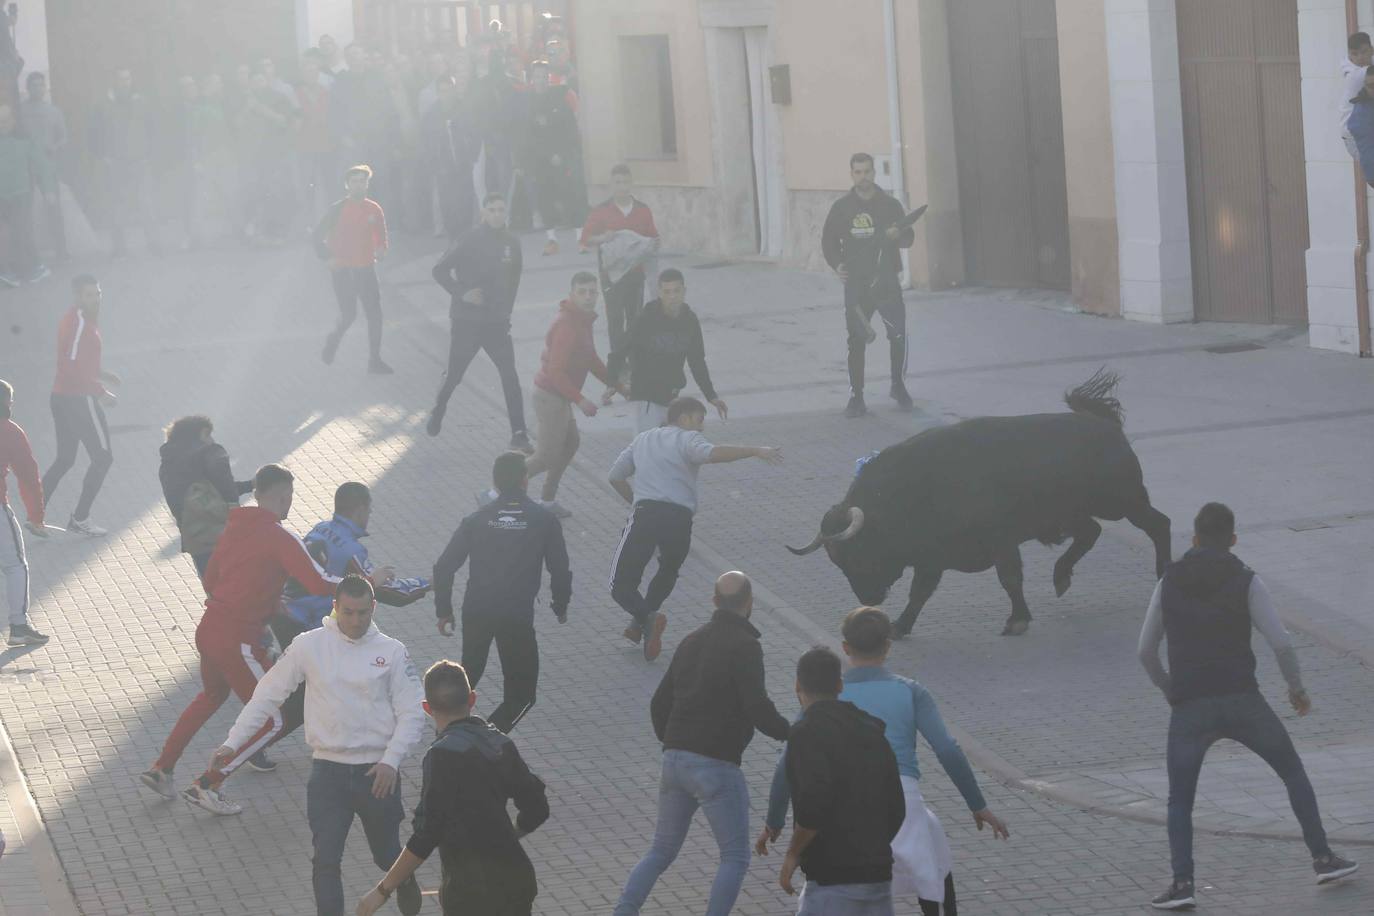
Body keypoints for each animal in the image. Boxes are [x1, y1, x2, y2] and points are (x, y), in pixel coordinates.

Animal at [791, 376, 1165, 634]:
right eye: (837, 561)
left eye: (857, 552)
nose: (868, 599)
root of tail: (1104, 423)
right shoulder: (931, 558)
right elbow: (919, 593)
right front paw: (900, 626)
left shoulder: (1001, 542)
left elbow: (1009, 579)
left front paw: (1017, 621)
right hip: (1073, 515)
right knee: (1091, 532)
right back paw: (1061, 578)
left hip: (1122, 502)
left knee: (1158, 524)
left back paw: (1161, 573)